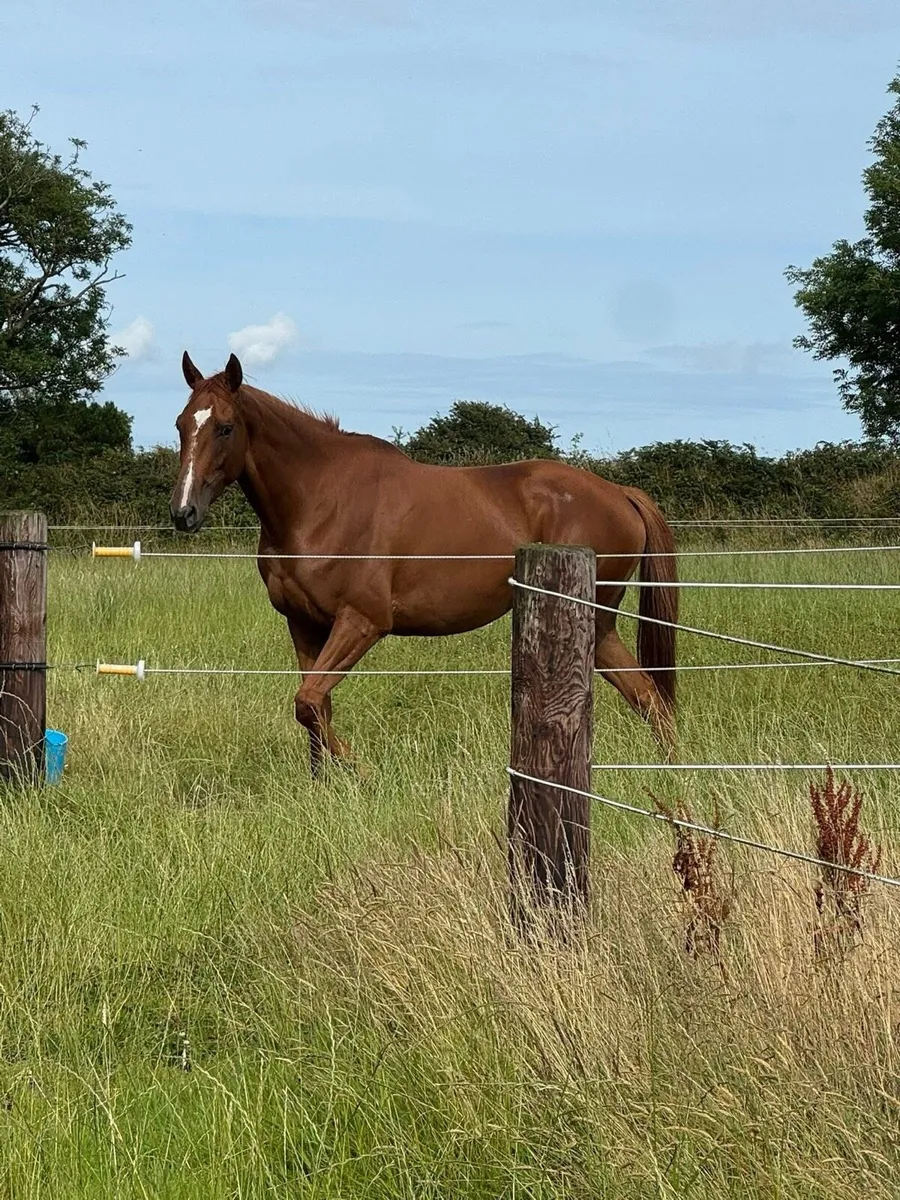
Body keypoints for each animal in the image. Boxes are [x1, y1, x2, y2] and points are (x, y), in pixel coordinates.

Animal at [171, 352, 679, 776]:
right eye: (181, 424)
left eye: (225, 427)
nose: (183, 513)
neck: (320, 501)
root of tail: (620, 494)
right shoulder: (303, 624)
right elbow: (316, 707)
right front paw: (323, 787)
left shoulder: (362, 622)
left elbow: (309, 701)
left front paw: (358, 770)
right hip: (599, 629)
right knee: (649, 697)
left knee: (647, 697)